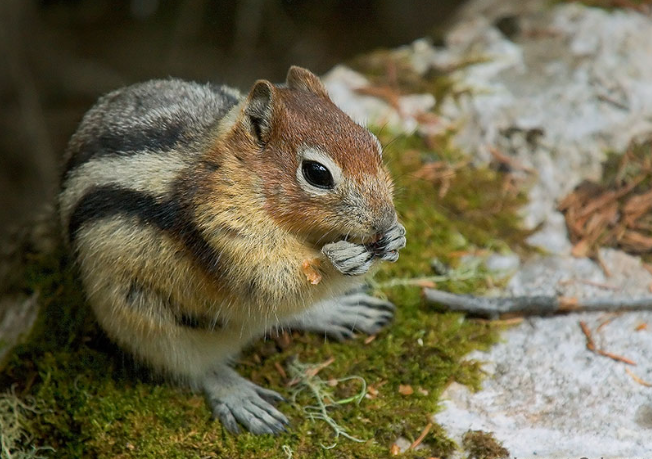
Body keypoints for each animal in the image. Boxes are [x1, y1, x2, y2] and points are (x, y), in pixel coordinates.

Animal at [58, 66, 406, 434]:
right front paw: (340, 260)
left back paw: (341, 311)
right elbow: (271, 280)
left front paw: (396, 236)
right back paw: (240, 396)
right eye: (317, 173)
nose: (384, 219)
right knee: (192, 364)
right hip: (141, 320)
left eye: (373, 143)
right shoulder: (222, 229)